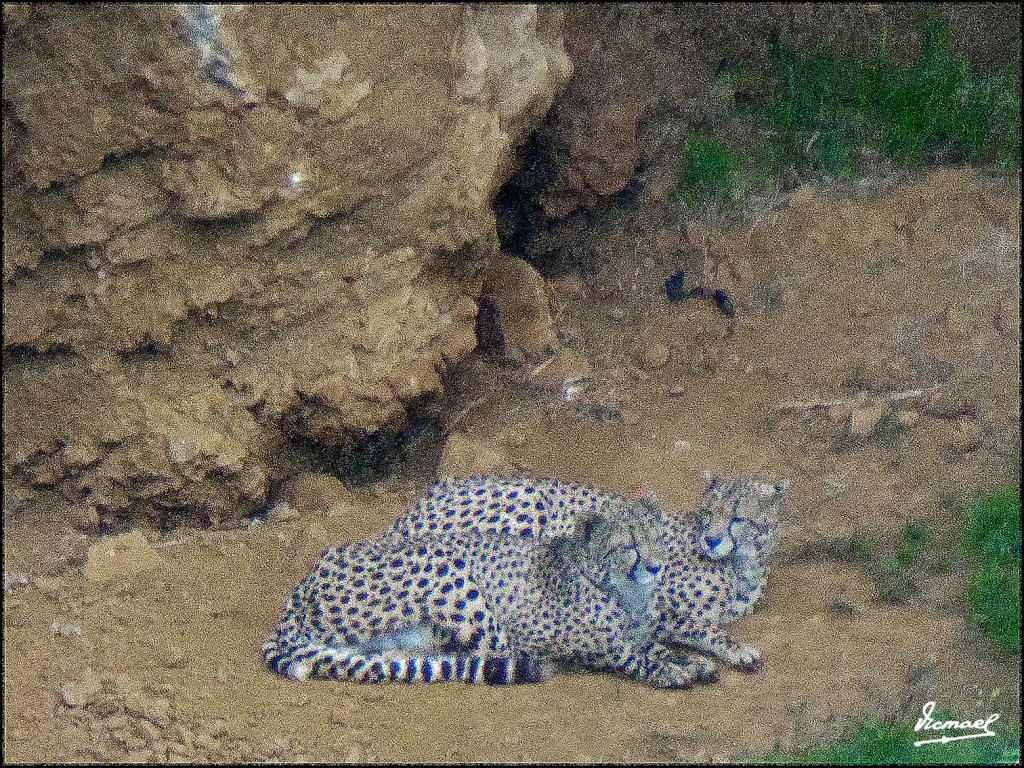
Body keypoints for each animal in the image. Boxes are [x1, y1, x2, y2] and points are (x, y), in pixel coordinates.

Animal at [262, 501, 696, 688]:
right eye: (630, 545)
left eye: (657, 539)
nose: (655, 567)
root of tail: (301, 588)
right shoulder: (548, 633)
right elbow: (620, 650)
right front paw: (668, 670)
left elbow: (649, 643)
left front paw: (685, 660)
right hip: (447, 568)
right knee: (496, 650)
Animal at [387, 475, 786, 684]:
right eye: (708, 514)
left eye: (737, 518)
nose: (711, 539)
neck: (741, 565)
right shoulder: (659, 607)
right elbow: (702, 627)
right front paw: (738, 651)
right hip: (526, 505)